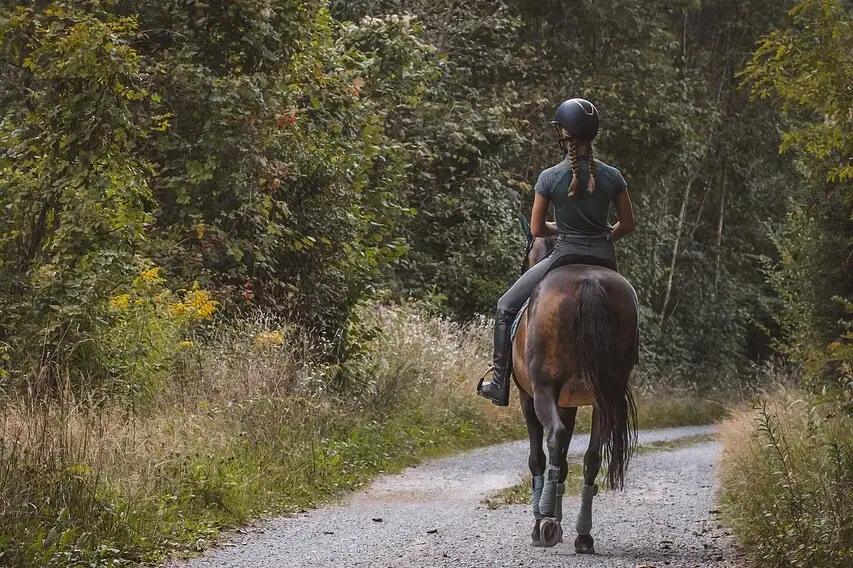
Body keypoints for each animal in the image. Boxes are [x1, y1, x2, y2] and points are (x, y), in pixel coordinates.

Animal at [511, 222, 639, 552]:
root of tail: (589, 282)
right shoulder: (567, 403)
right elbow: (566, 461)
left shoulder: (528, 397)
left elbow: (538, 457)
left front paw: (543, 521)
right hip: (604, 396)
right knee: (592, 457)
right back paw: (583, 534)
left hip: (543, 389)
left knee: (554, 438)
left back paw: (545, 522)